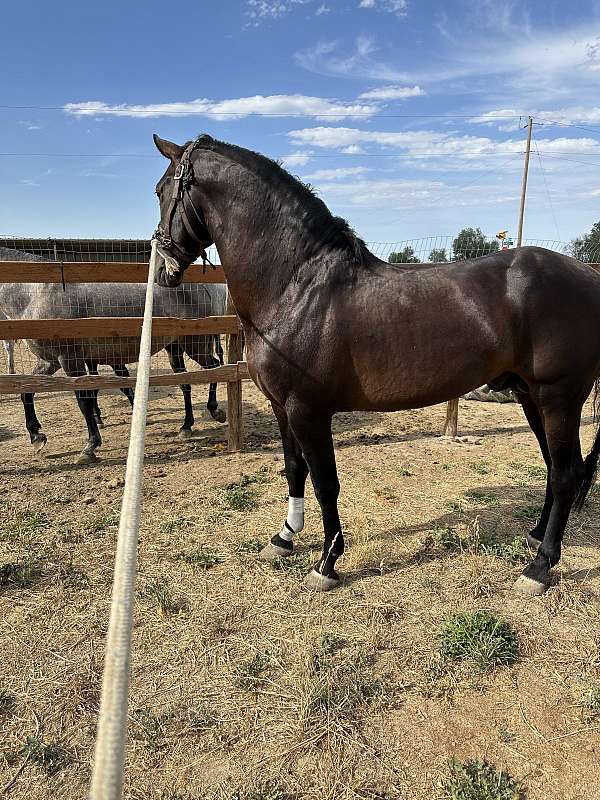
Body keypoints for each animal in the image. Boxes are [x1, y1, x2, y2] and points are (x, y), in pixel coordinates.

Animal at [0, 277, 227, 463]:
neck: (34, 294)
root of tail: (204, 287)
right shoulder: (50, 362)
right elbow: (26, 392)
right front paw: (37, 436)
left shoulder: (70, 360)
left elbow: (85, 401)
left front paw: (90, 446)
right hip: (175, 346)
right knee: (186, 382)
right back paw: (186, 426)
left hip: (194, 344)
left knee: (214, 368)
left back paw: (215, 411)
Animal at [151, 132, 600, 597]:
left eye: (161, 191)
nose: (163, 268)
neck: (297, 286)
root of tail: (589, 275)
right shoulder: (281, 407)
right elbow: (294, 470)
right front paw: (284, 538)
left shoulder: (308, 411)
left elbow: (325, 482)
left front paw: (327, 562)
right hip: (531, 396)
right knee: (557, 467)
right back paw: (536, 536)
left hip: (559, 397)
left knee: (565, 475)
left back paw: (539, 567)